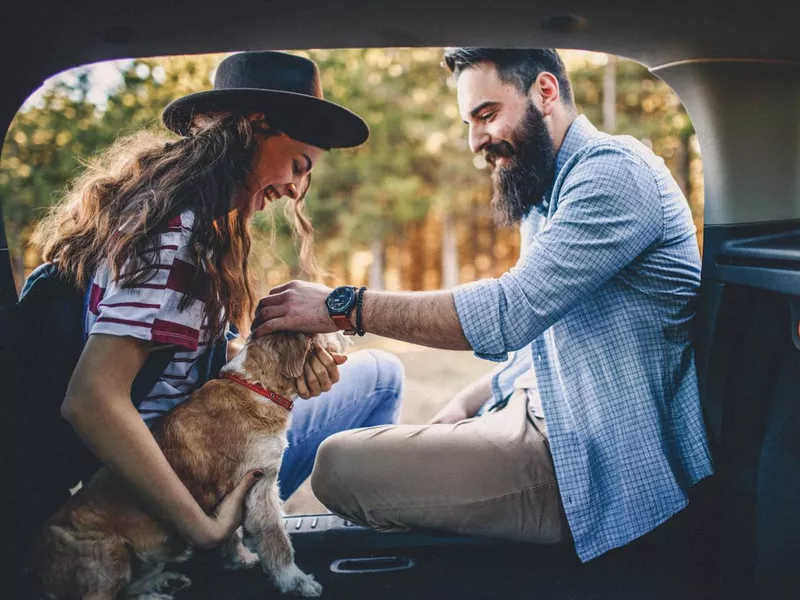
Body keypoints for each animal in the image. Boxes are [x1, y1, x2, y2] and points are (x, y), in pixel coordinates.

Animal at [30, 330, 344, 596]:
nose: (343, 331)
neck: (256, 387)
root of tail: (35, 568)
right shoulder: (259, 484)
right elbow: (277, 540)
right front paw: (296, 581)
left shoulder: (223, 497)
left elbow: (230, 534)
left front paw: (239, 559)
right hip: (108, 554)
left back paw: (165, 581)